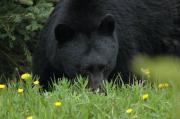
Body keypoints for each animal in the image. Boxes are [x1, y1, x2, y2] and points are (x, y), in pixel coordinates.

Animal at [32, 0, 180, 89]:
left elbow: (128, 76)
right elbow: (42, 78)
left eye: (105, 66)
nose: (99, 91)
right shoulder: (49, 52)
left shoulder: (124, 44)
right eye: (83, 70)